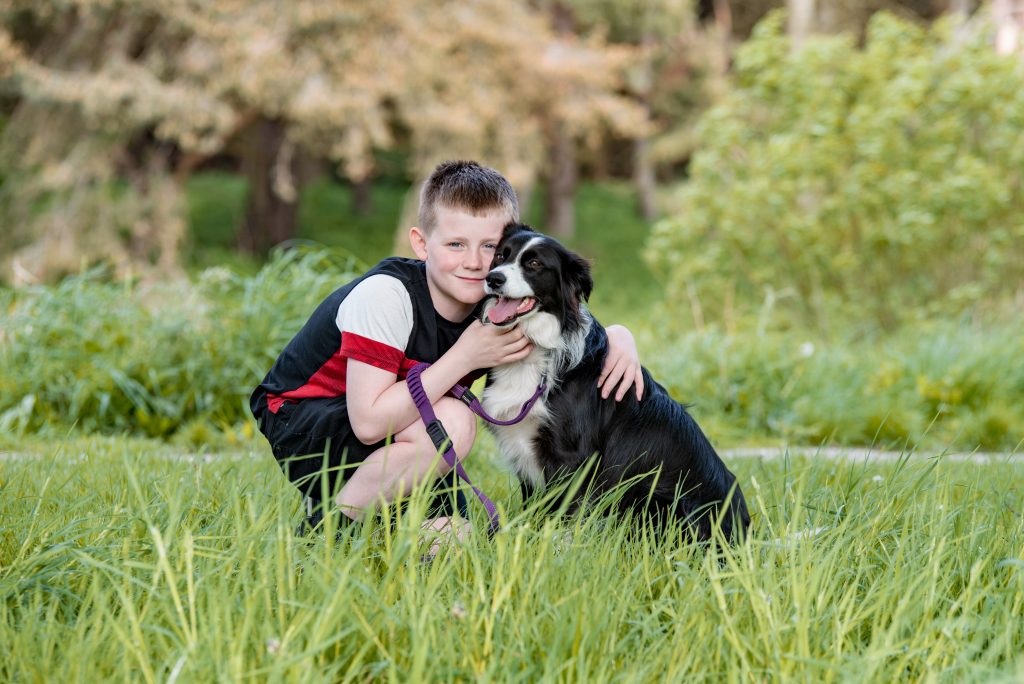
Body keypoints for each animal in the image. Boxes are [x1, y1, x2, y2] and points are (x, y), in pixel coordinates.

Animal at [479, 222, 753, 540]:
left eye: (534, 264)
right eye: (500, 255)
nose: (493, 278)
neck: (540, 348)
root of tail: (743, 531)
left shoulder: (571, 457)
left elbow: (564, 514)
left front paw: (556, 546)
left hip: (648, 494)